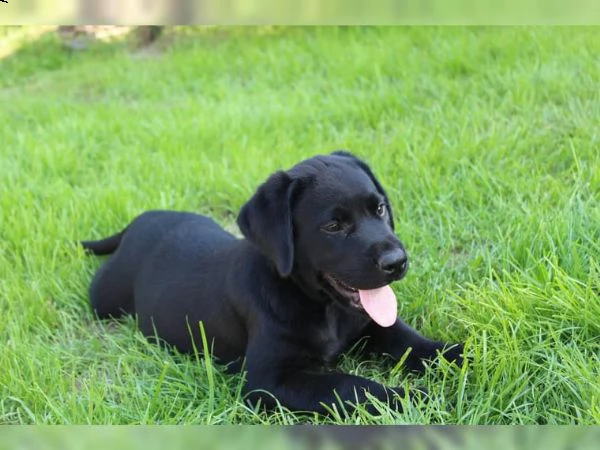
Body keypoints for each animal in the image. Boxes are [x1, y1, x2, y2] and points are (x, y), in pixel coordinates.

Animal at [81, 150, 464, 414]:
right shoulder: (269, 381)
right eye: (333, 226)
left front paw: (463, 354)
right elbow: (348, 386)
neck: (325, 310)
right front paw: (410, 397)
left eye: (380, 209)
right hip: (103, 298)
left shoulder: (372, 326)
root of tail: (137, 222)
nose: (397, 262)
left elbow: (414, 343)